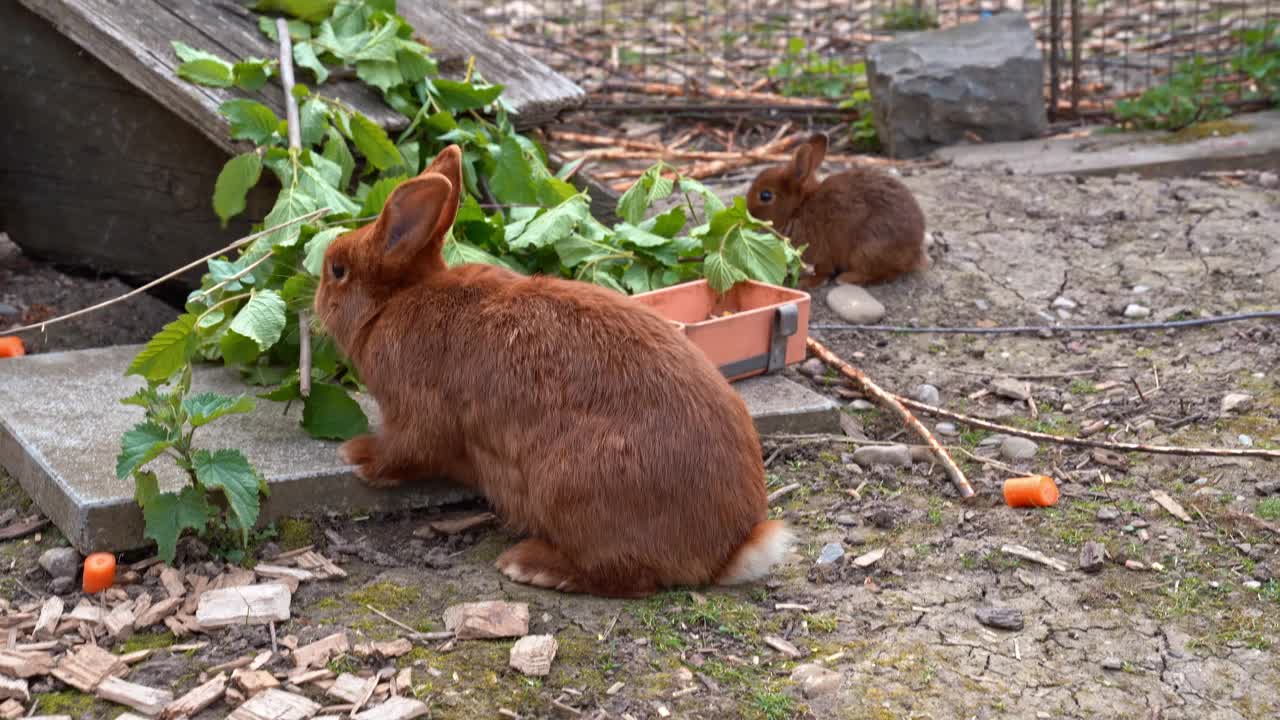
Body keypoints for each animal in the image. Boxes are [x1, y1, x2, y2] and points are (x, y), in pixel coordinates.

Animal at [312, 142, 788, 597]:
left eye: (337, 269)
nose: (315, 301)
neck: (393, 301)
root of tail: (729, 549)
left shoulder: (416, 412)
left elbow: (404, 450)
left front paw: (357, 455)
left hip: (571, 489)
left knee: (626, 578)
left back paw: (529, 565)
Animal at [742, 133, 931, 286]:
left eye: (765, 195)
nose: (748, 213)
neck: (799, 207)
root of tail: (915, 253)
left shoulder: (821, 253)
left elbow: (823, 271)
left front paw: (807, 282)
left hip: (867, 249)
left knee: (883, 273)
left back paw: (846, 278)